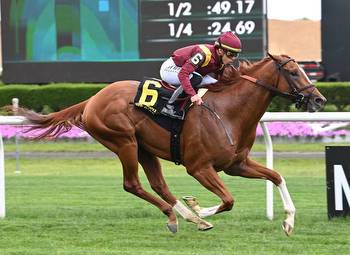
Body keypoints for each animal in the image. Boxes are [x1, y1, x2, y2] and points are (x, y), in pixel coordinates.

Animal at [10, 53, 326, 235]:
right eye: (294, 72)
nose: (319, 99)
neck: (227, 111)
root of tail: (91, 99)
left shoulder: (237, 164)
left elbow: (276, 176)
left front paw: (289, 222)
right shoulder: (199, 167)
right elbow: (228, 200)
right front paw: (199, 209)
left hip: (144, 148)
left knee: (158, 184)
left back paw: (185, 217)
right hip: (124, 141)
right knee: (133, 184)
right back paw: (181, 217)